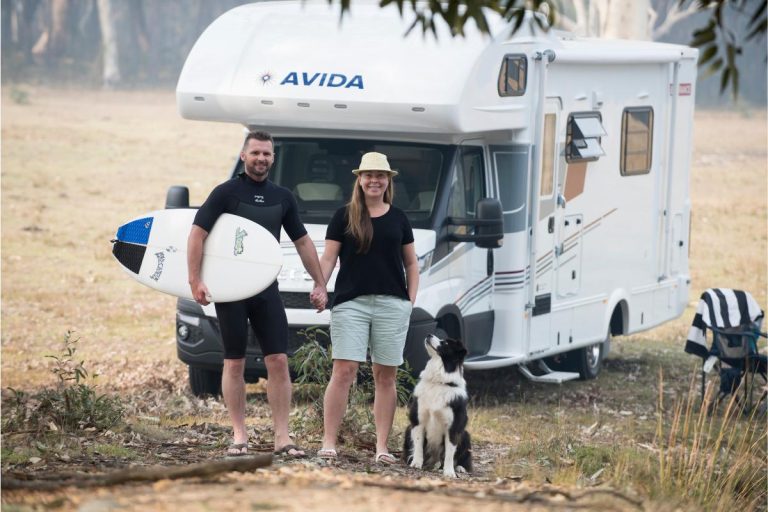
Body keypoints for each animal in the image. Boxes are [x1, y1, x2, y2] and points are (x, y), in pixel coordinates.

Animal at [404, 334, 472, 478]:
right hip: (408, 429)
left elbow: (450, 452)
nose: (429, 334)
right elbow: (418, 443)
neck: (439, 382)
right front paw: (416, 463)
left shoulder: (454, 427)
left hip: (465, 435)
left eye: (445, 343)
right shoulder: (418, 420)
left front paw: (449, 472)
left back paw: (459, 468)